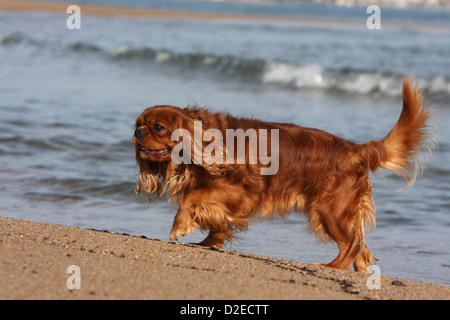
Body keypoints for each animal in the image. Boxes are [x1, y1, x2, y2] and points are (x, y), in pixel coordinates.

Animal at [134, 77, 436, 270]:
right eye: (138, 124)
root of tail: (357, 149)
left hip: (329, 210)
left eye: (158, 127)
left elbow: (192, 199)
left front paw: (180, 227)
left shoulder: (240, 190)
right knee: (361, 248)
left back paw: (331, 267)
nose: (137, 132)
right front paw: (210, 242)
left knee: (351, 244)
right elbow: (216, 218)